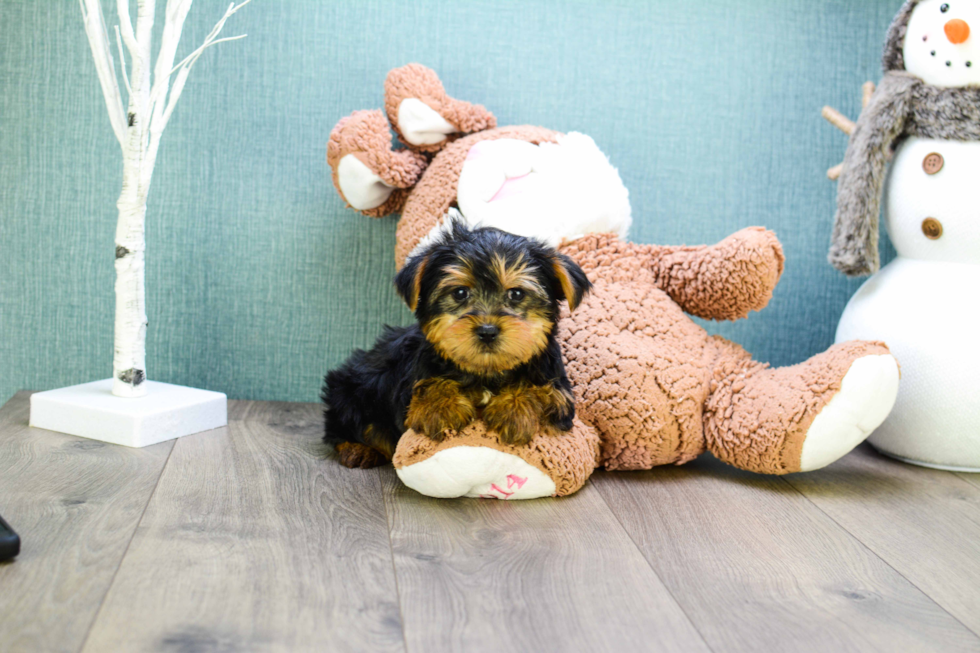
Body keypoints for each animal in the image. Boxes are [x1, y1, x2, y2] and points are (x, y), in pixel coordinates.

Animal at [326, 222, 592, 466]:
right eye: (460, 293)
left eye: (516, 294)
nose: (487, 331)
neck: (486, 372)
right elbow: (427, 384)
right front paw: (441, 407)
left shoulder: (559, 391)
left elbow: (543, 390)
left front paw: (514, 407)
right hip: (351, 390)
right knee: (347, 427)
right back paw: (357, 449)